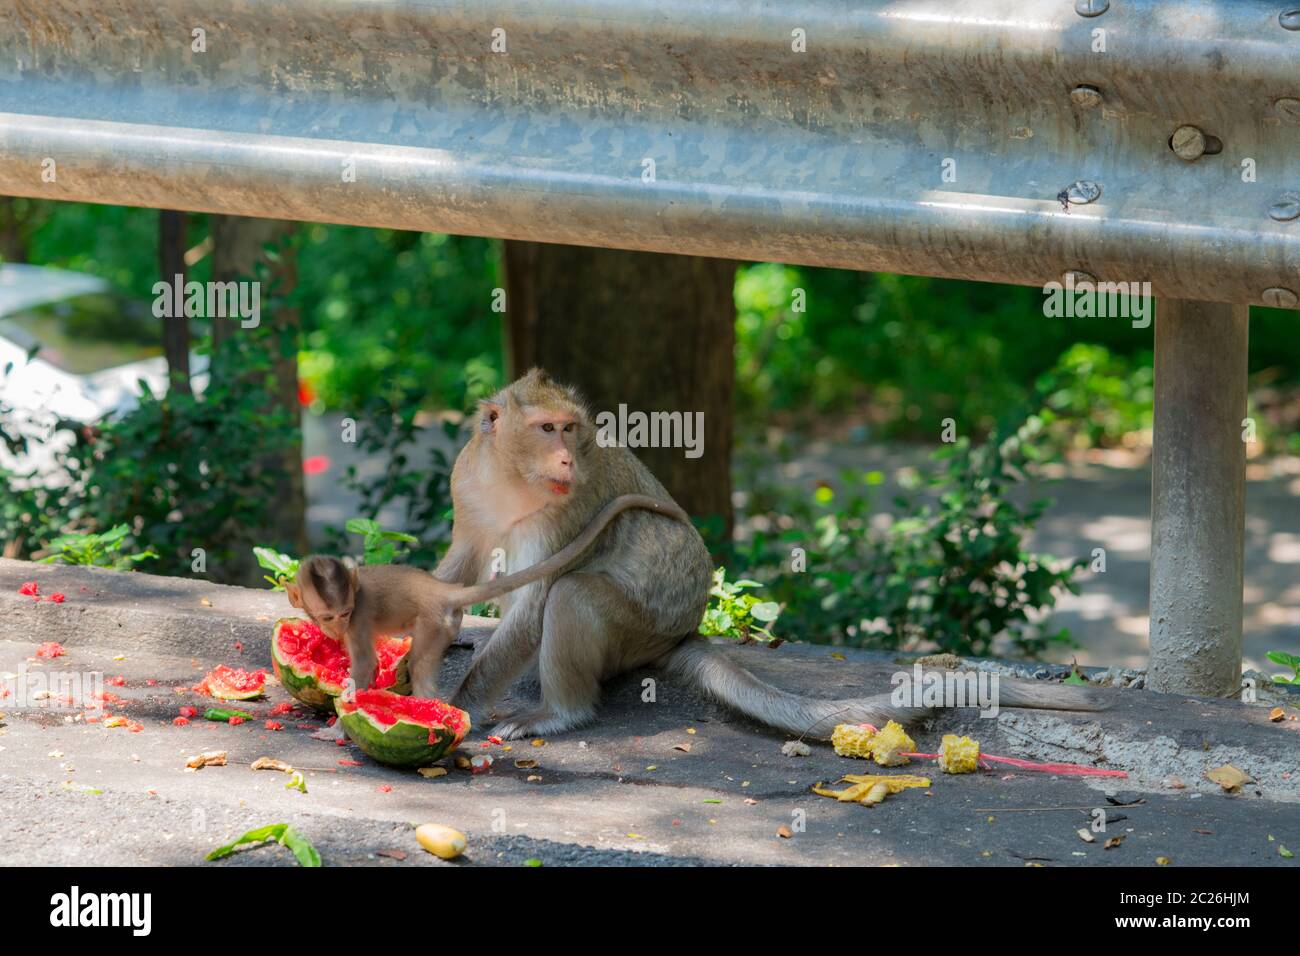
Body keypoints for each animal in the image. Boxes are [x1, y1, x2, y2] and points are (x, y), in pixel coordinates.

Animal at [288, 489, 686, 697]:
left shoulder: (357, 622)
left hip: (435, 623)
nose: (335, 628)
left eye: (344, 613)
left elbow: (366, 665)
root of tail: (442, 590)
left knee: (421, 663)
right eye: (326, 617)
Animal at [439, 371, 1107, 738]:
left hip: (638, 630)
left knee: (574, 596)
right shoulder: (467, 481)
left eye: (570, 429)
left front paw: (457, 702)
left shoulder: (566, 509)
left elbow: (536, 600)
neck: (511, 480)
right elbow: (460, 568)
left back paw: (560, 713)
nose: (565, 458)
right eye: (546, 429)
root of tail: (680, 635)